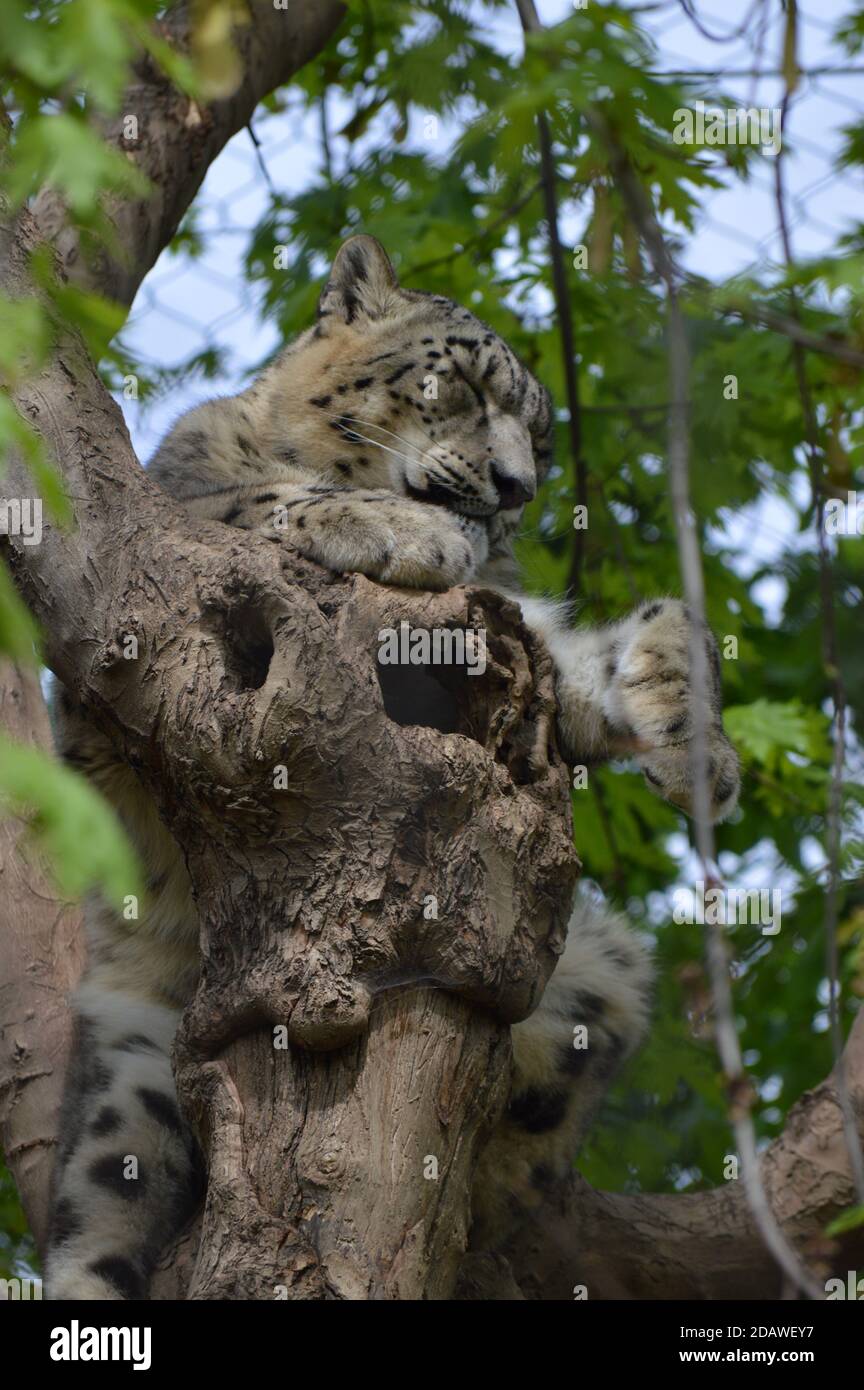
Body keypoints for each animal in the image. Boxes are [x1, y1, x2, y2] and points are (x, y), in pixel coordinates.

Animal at [44, 235, 740, 1299]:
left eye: (542, 439)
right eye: (460, 381)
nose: (516, 487)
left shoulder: (522, 639)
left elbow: (646, 632)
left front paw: (694, 737)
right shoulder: (161, 540)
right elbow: (257, 498)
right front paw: (406, 530)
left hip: (607, 966)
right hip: (125, 1056)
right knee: (96, 1220)